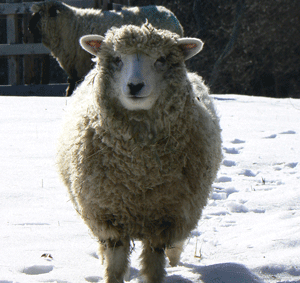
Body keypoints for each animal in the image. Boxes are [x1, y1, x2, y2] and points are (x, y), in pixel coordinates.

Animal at [28, 0, 183, 96]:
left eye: (40, 14)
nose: (29, 27)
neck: (70, 24)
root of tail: (172, 16)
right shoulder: (73, 64)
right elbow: (71, 84)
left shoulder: (79, 63)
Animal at [56, 22, 223, 283]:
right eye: (117, 59)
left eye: (161, 59)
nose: (135, 86)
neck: (138, 172)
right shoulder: (109, 215)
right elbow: (114, 265)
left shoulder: (165, 217)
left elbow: (154, 264)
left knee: (178, 242)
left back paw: (175, 257)